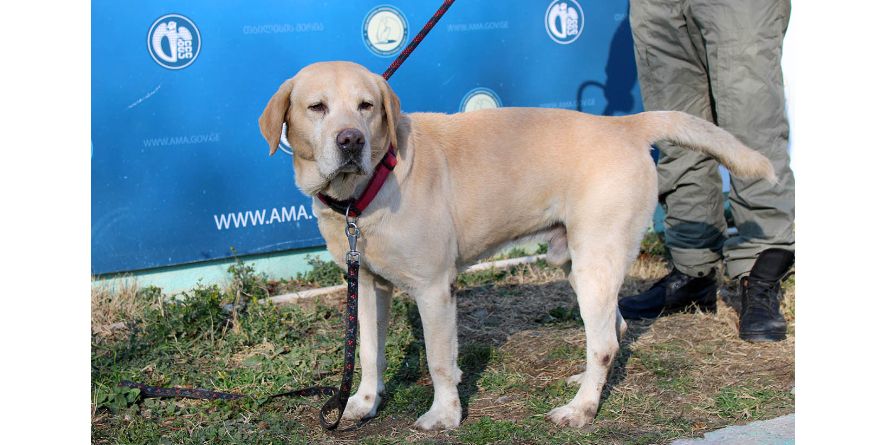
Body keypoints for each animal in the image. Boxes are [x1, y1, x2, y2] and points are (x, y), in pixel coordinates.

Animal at [258, 60, 776, 428]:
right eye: (317, 107)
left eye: (366, 106)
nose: (350, 141)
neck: (366, 191)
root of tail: (624, 125)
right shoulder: (366, 284)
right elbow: (366, 352)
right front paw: (361, 405)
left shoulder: (434, 289)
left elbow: (439, 361)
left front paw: (445, 415)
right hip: (582, 264)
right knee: (614, 330)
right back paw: (586, 383)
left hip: (595, 262)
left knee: (605, 341)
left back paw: (581, 409)